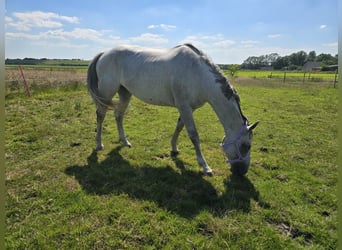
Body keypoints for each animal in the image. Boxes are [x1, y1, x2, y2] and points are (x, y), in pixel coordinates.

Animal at [87, 43, 258, 176]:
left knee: (118, 115)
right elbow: (194, 135)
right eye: (246, 146)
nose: (242, 172)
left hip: (125, 93)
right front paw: (205, 167)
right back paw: (99, 144)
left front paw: (174, 148)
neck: (198, 74)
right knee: (100, 115)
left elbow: (179, 127)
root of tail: (104, 53)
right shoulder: (184, 107)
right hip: (107, 92)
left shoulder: (188, 108)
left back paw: (125, 141)